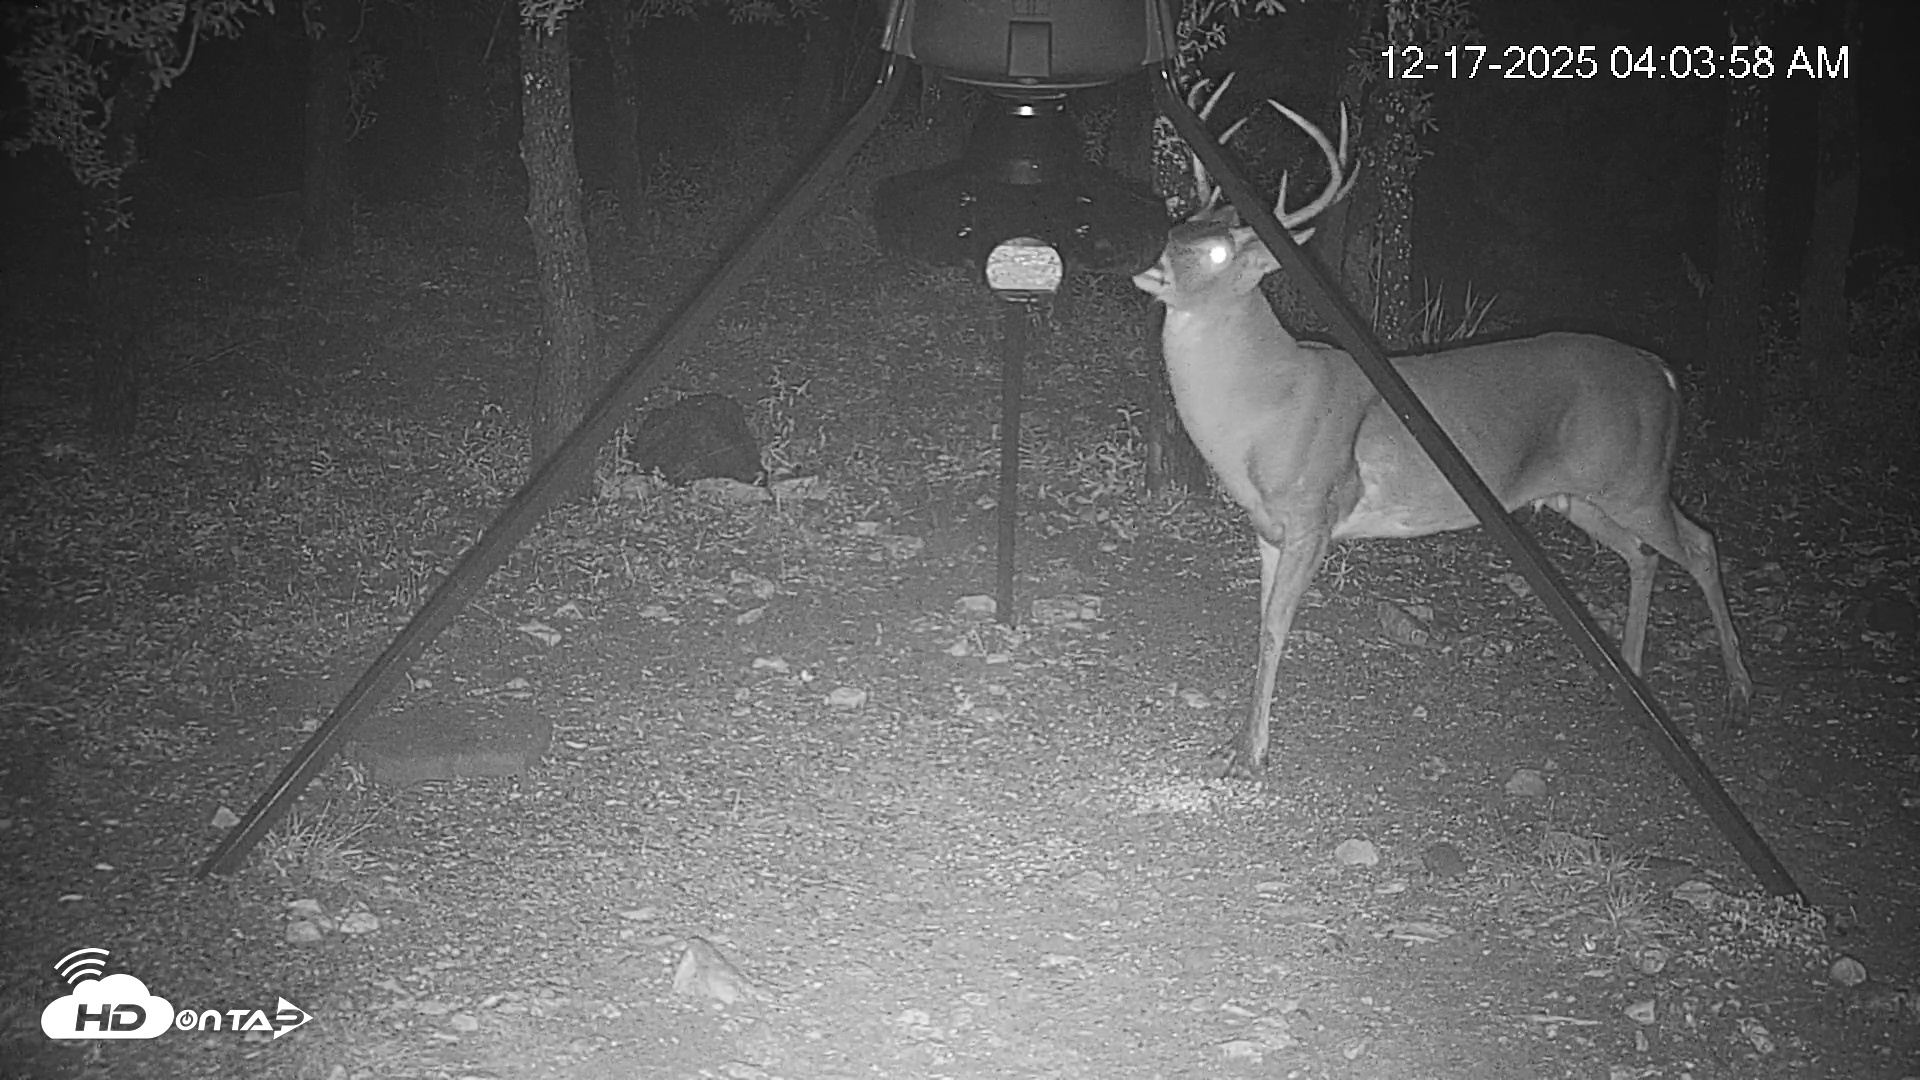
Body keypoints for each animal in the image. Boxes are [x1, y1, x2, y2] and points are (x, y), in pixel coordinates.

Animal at [1132, 94, 1754, 779]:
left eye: (1219, 254)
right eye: (1180, 227)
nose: (1151, 263)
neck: (1265, 405)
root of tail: (1661, 371)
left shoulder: (1313, 516)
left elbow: (1274, 631)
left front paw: (1251, 754)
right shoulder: (1268, 528)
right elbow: (1260, 627)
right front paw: (1238, 742)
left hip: (1637, 479)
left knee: (1700, 544)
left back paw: (1738, 697)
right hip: (1580, 496)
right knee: (1643, 555)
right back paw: (1636, 673)